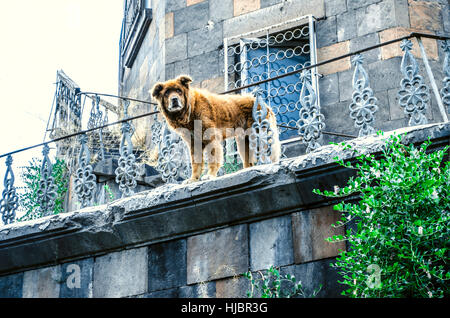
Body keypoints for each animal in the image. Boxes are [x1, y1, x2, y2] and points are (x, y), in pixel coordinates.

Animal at [151, 74, 280, 183]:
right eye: (166, 93)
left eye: (178, 91)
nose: (174, 99)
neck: (190, 110)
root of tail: (265, 105)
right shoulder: (194, 142)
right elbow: (196, 163)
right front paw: (193, 179)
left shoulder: (211, 137)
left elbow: (213, 158)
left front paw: (210, 175)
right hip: (244, 141)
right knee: (249, 161)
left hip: (261, 135)